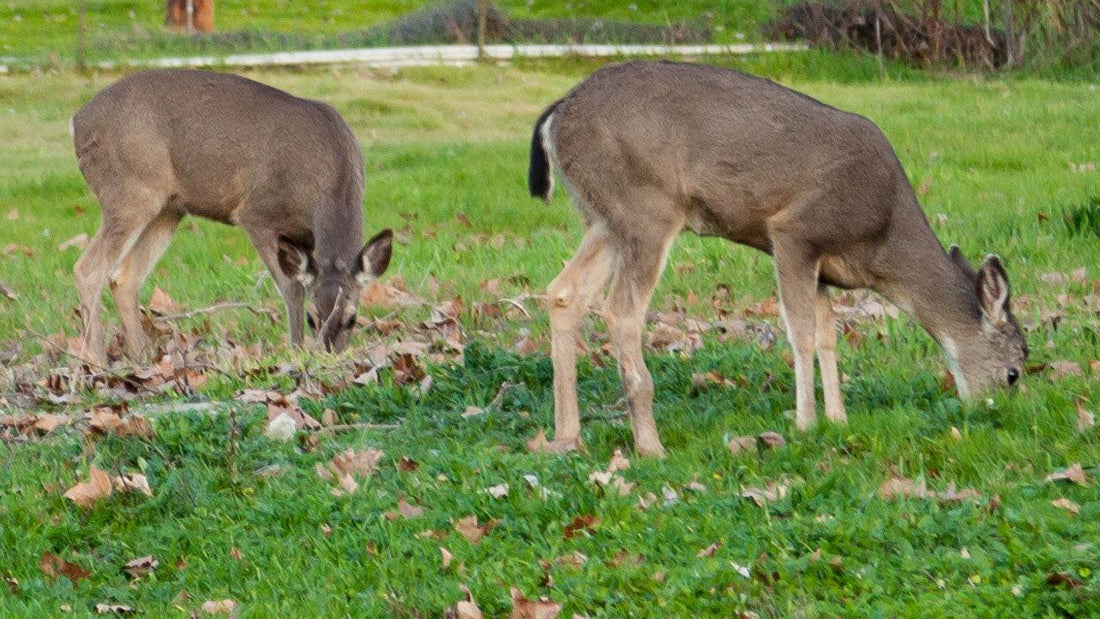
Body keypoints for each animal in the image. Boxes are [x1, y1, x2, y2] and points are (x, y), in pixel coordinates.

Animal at [70, 69, 393, 365]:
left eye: (352, 319)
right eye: (312, 319)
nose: (330, 355)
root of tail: (78, 121)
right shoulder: (257, 213)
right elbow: (292, 287)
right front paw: (295, 351)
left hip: (168, 207)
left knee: (125, 277)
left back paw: (141, 358)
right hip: (128, 191)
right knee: (88, 269)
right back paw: (97, 361)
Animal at [528, 60, 1025, 457]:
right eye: (1014, 373)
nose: (992, 413)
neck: (882, 241)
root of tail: (556, 114)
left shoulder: (824, 266)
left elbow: (828, 336)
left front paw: (838, 418)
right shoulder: (794, 231)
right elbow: (801, 332)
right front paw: (805, 422)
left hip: (606, 218)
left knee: (563, 292)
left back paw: (566, 436)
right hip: (645, 206)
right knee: (622, 311)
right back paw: (650, 445)